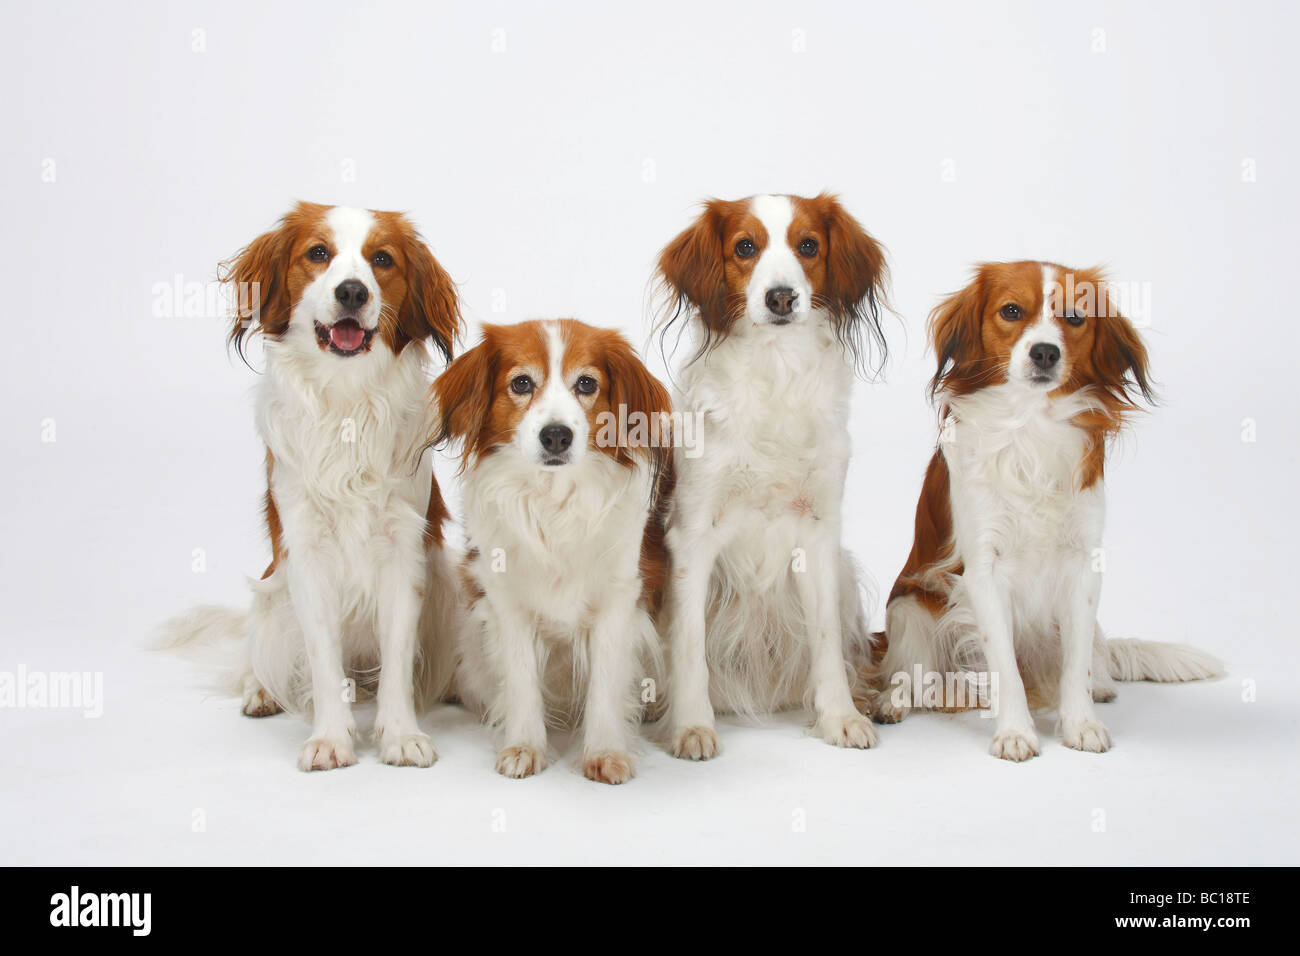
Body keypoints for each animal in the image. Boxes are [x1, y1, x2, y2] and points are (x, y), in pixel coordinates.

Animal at [436, 321, 676, 785]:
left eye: (586, 383)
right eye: (521, 383)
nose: (557, 435)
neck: (554, 498)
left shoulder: (618, 600)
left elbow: (605, 683)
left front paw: (605, 752)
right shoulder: (507, 603)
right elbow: (521, 681)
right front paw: (524, 747)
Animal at [655, 196, 889, 764]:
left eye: (808, 245)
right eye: (745, 247)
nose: (781, 297)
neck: (775, 371)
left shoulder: (819, 534)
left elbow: (827, 640)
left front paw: (840, 717)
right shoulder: (692, 535)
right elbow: (689, 646)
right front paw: (691, 726)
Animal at [873, 261, 1216, 764]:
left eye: (1075, 317)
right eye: (1011, 311)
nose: (1045, 352)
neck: (1031, 427)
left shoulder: (1083, 565)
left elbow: (1076, 665)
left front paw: (1081, 724)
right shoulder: (985, 568)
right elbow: (1004, 666)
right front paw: (1015, 732)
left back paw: (1103, 689)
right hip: (909, 607)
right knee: (910, 670)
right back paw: (891, 702)